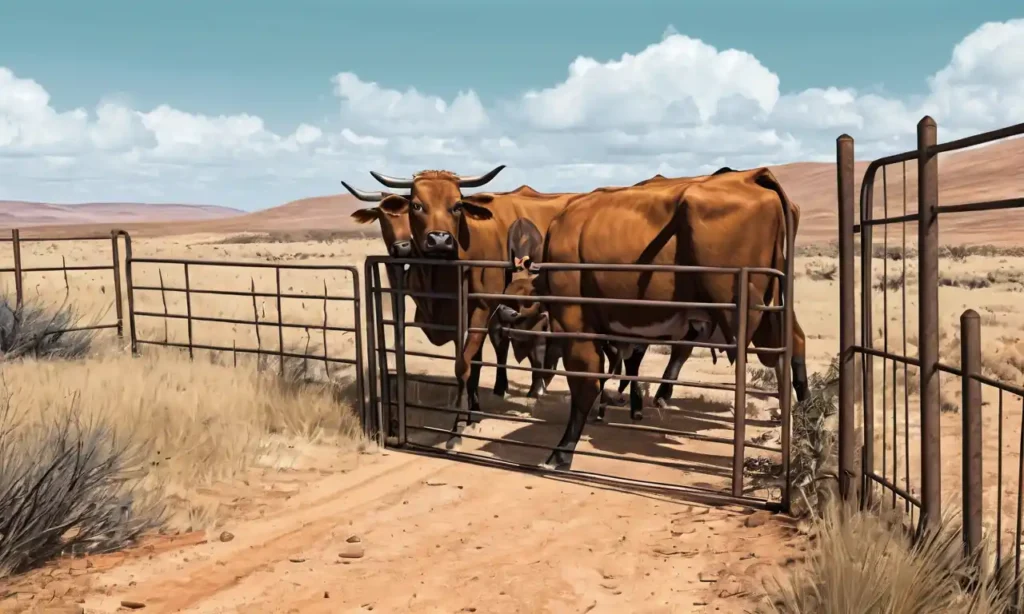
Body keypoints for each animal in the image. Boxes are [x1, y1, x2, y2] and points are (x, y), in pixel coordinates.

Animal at [516, 165, 802, 468]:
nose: (535, 390)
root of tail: (752, 175)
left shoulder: (574, 320)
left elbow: (586, 383)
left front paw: (562, 452)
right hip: (771, 312)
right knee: (787, 357)